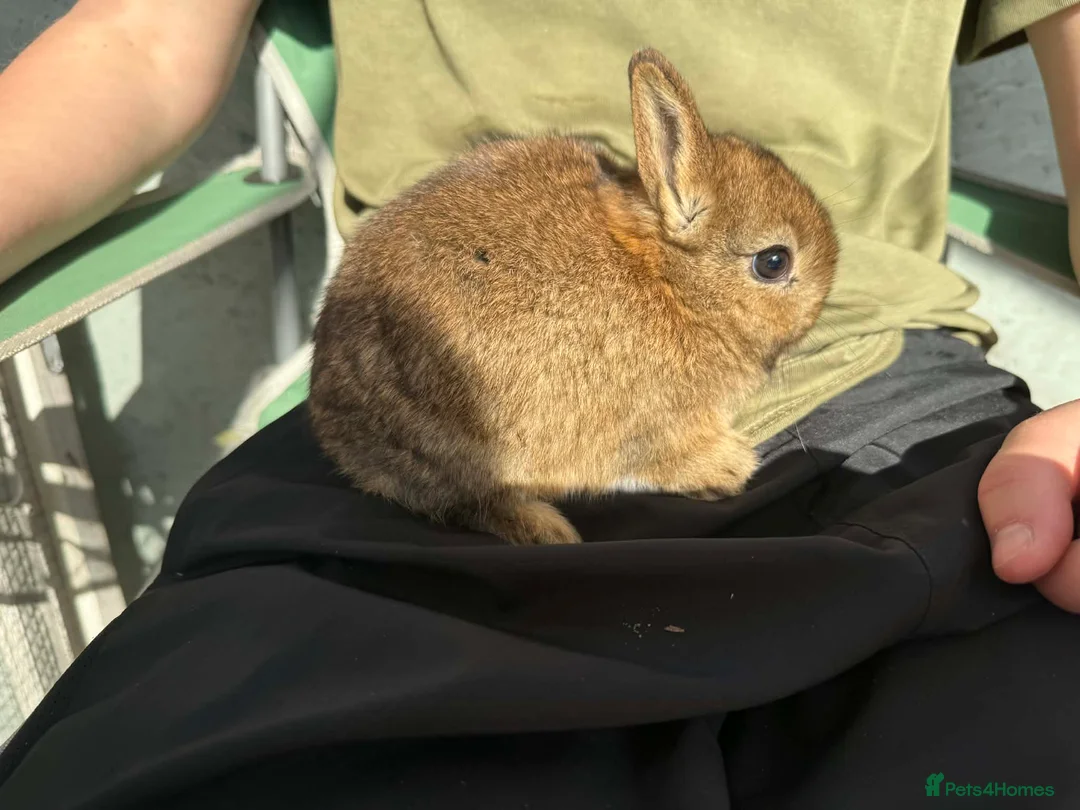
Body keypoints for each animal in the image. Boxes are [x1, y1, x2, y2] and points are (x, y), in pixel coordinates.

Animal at [308, 48, 839, 546]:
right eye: (774, 262)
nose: (822, 301)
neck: (672, 283)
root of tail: (338, 429)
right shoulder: (643, 426)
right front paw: (729, 467)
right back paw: (551, 530)